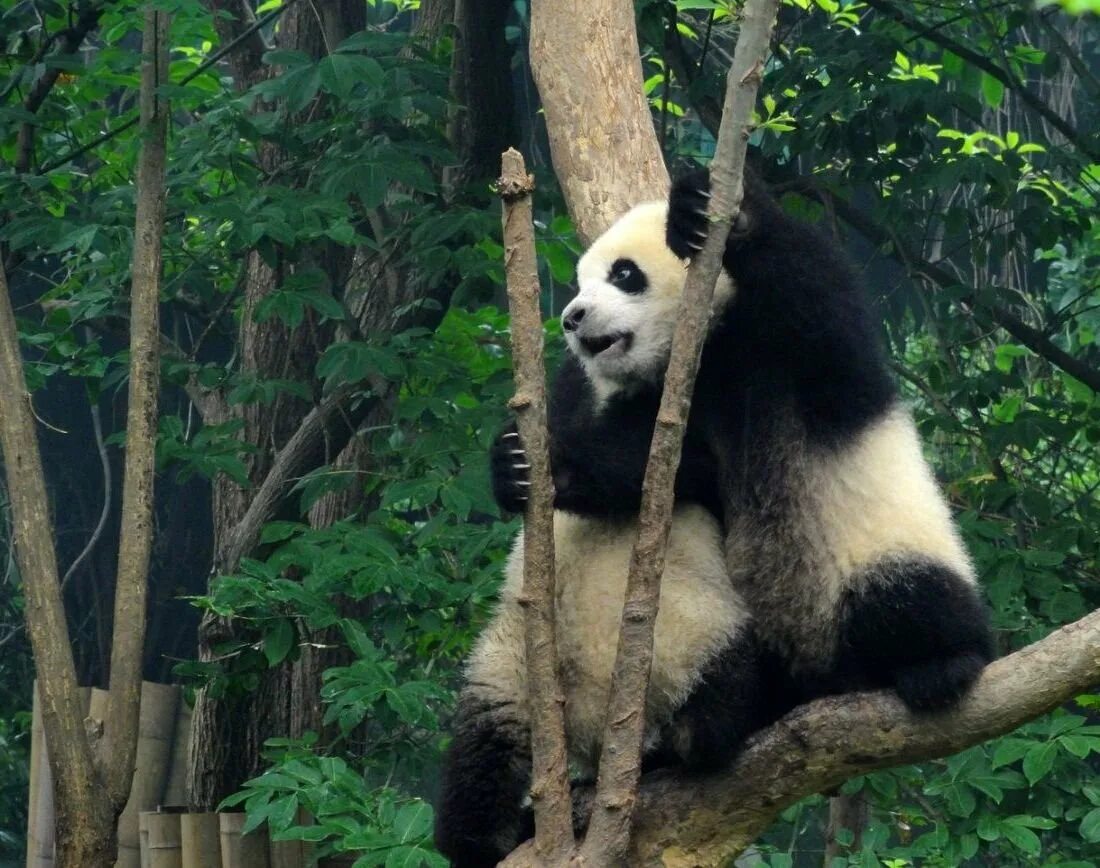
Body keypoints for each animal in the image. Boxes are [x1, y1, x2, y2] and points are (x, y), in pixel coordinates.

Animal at [495, 169, 994, 717]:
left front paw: (713, 208)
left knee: (910, 594)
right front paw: (521, 465)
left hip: (874, 549)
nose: (573, 317)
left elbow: (815, 298)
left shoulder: (791, 347)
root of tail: (827, 675)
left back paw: (941, 664)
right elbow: (659, 466)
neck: (708, 338)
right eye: (582, 282)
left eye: (624, 274)